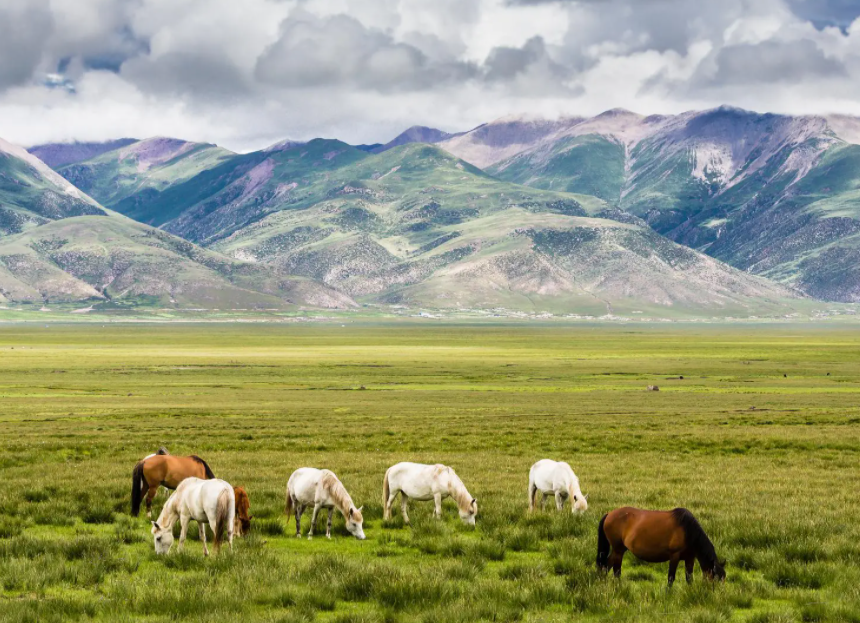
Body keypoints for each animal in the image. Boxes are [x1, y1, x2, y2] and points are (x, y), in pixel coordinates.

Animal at [596, 508, 724, 584]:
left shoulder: (689, 558)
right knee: (616, 571)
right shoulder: (674, 556)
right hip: (618, 550)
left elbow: (689, 578)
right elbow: (671, 577)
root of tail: (609, 514)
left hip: (618, 550)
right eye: (715, 578)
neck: (687, 530)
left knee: (606, 566)